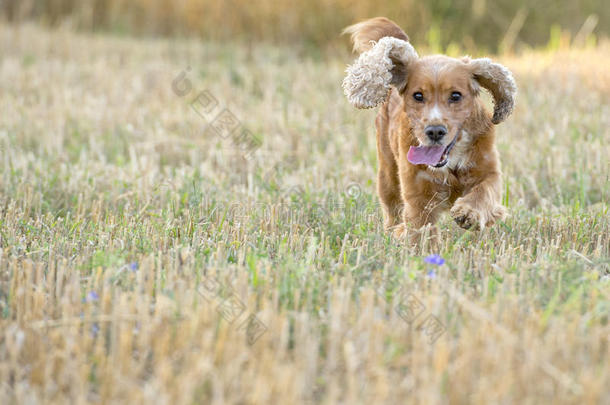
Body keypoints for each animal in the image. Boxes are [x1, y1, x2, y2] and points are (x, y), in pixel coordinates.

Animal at [342, 17, 512, 240]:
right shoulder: (418, 195)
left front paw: (468, 213)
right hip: (387, 174)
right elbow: (420, 229)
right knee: (391, 209)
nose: (435, 131)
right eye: (418, 95)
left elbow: (484, 192)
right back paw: (394, 232)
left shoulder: (489, 171)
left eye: (456, 95)